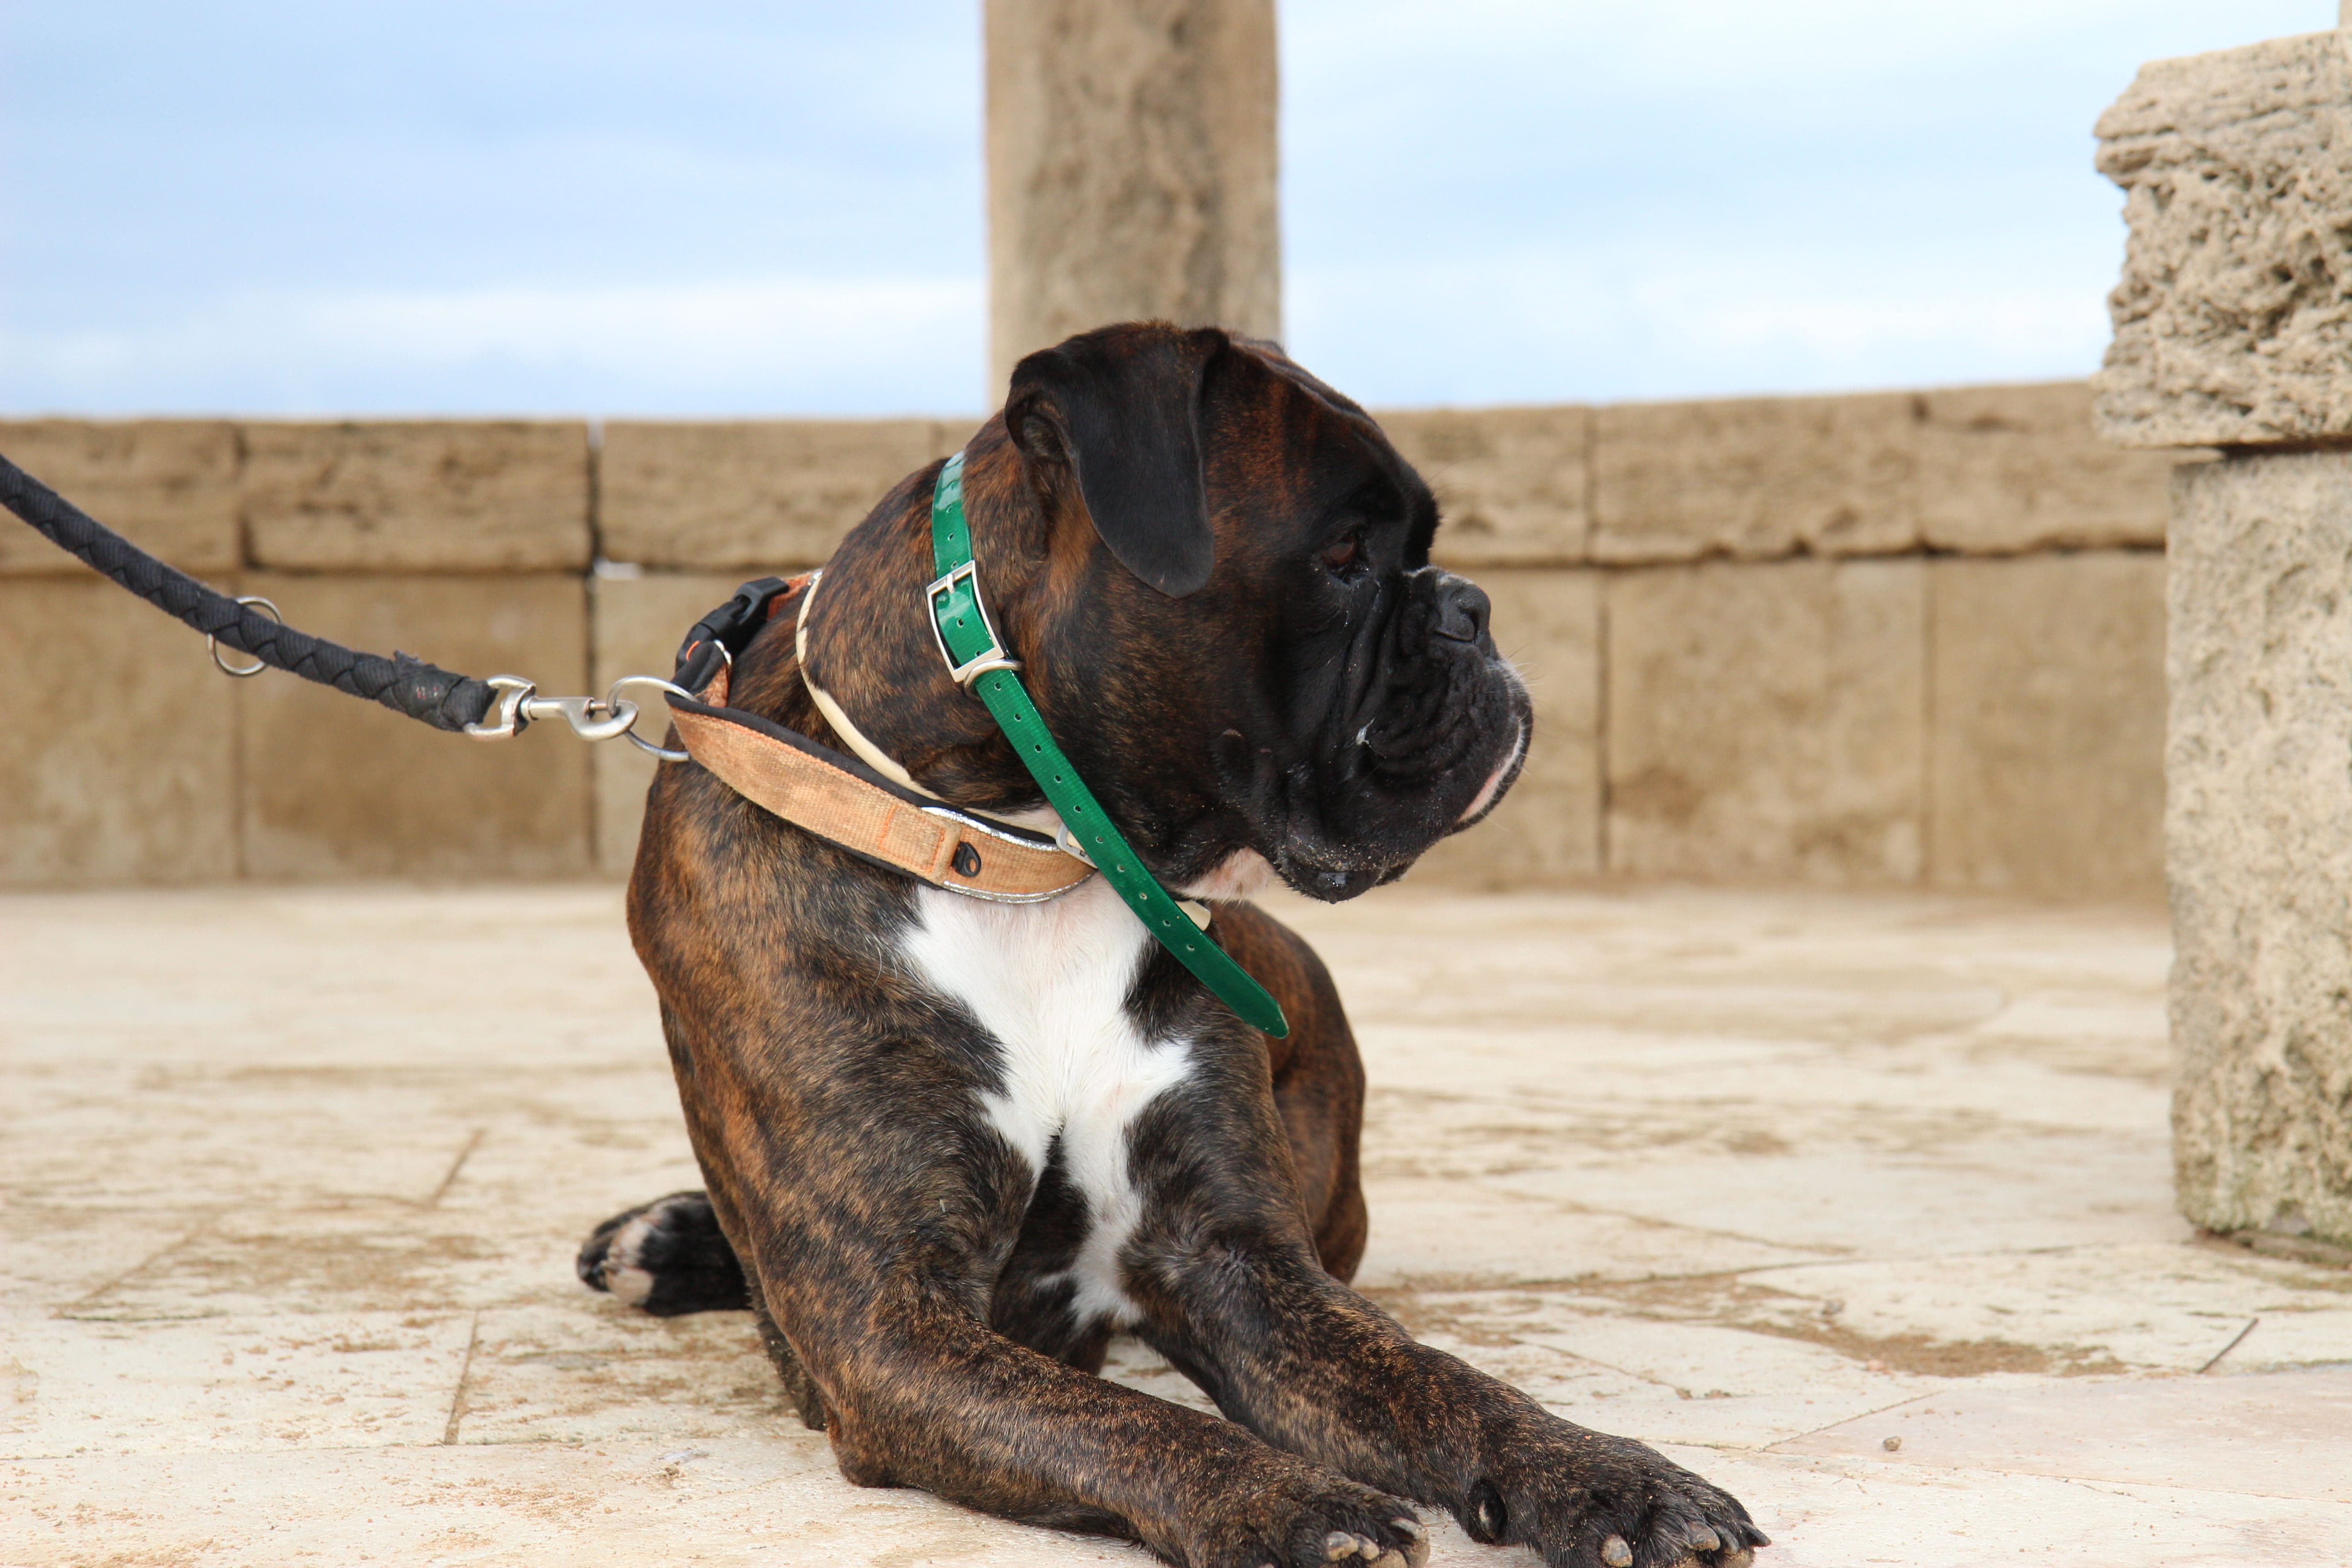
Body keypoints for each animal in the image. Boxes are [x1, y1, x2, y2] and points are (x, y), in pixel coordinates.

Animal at [577, 323, 1765, 1568]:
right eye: (1345, 555)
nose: (1468, 608)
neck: (1017, 857)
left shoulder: (1232, 1260)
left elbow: (1444, 1384)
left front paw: (1610, 1478)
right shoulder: (887, 1323)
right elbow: (1125, 1423)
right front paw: (1293, 1503)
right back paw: (666, 1234)